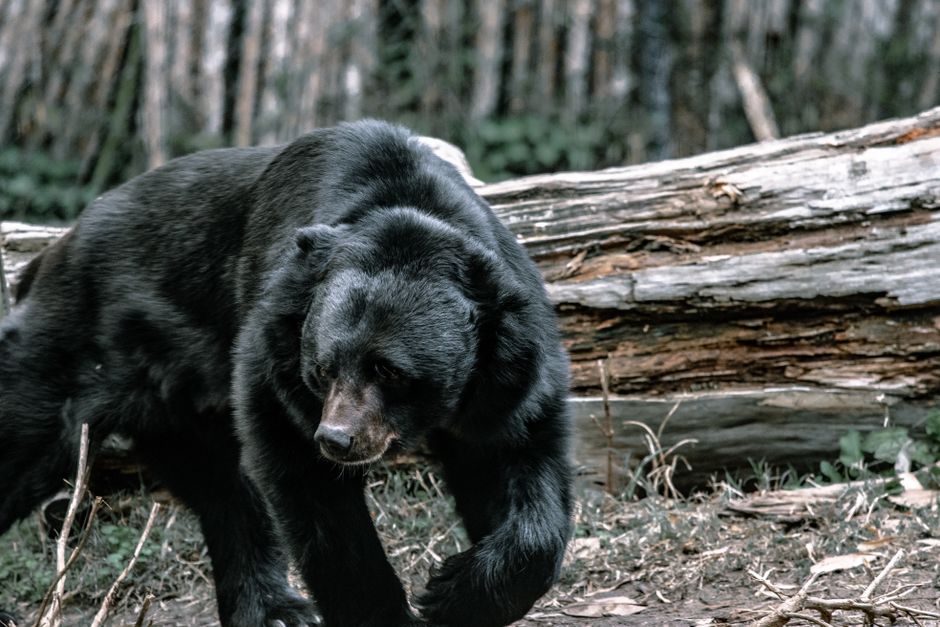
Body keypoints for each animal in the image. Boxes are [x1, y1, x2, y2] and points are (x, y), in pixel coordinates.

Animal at [0, 120, 573, 627]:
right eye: (322, 368)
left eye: (389, 370)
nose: (337, 439)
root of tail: (52, 252)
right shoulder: (275, 353)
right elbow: (312, 492)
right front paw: (392, 612)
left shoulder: (507, 373)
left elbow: (517, 462)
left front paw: (455, 591)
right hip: (75, 348)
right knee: (27, 436)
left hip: (176, 401)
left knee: (222, 489)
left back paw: (274, 609)